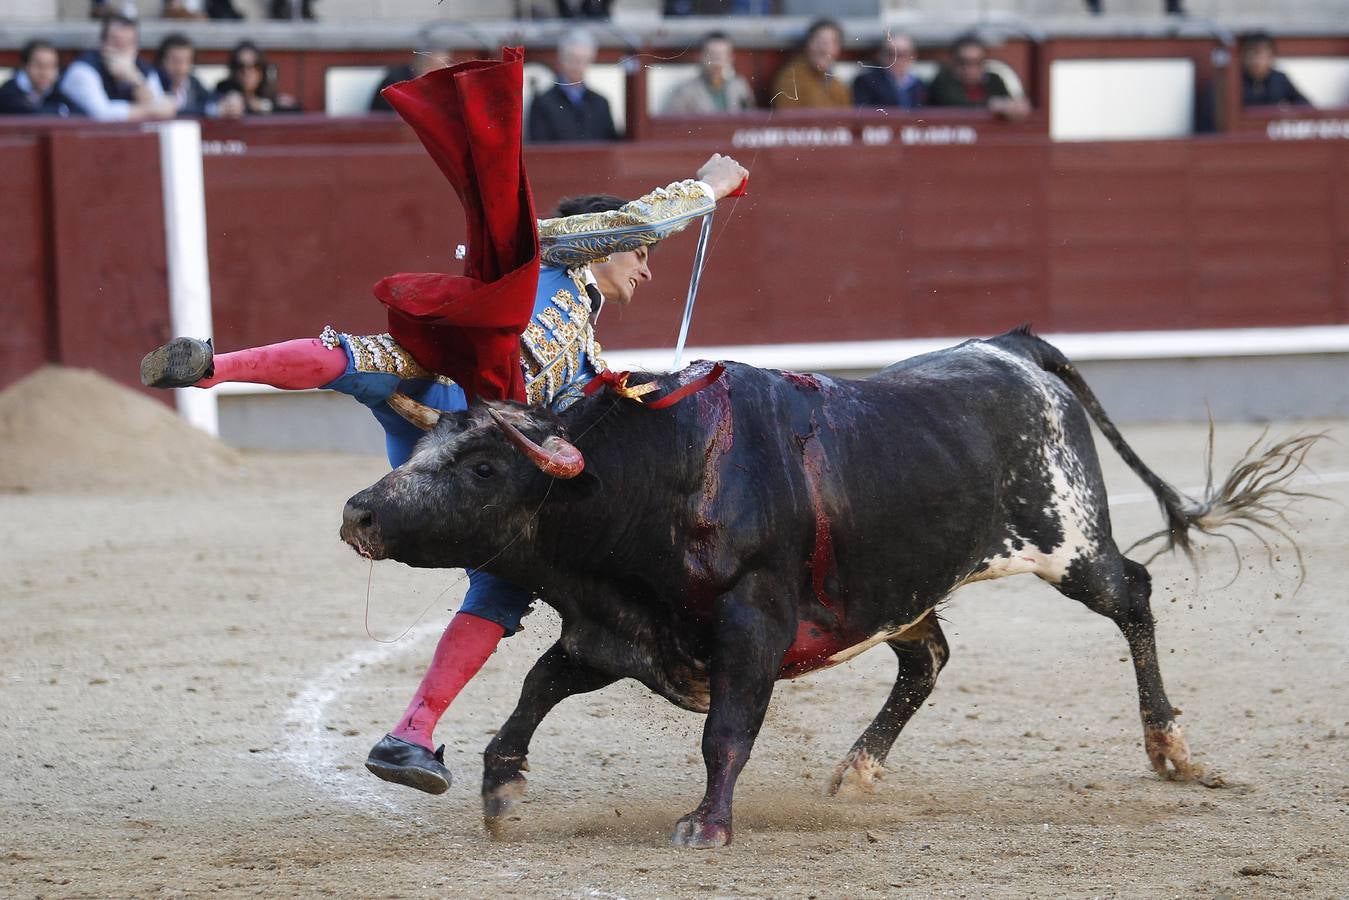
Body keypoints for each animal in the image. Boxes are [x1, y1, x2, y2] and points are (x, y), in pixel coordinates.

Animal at [339, 327, 1316, 847]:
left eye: (480, 467)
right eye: (422, 447)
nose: (358, 511)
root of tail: (1010, 348)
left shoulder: (749, 628)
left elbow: (727, 732)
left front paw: (706, 826)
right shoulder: (618, 632)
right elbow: (536, 688)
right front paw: (502, 793)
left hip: (1067, 541)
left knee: (1134, 595)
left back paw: (1171, 751)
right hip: (902, 586)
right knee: (929, 659)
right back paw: (855, 770)